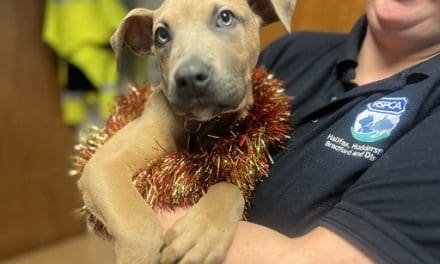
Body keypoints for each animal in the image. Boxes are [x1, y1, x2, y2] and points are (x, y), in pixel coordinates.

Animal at [76, 0, 296, 262]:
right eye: (161, 34)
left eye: (225, 17)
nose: (189, 77)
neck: (198, 126)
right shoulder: (103, 166)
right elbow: (139, 223)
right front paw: (139, 255)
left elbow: (230, 188)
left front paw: (201, 233)